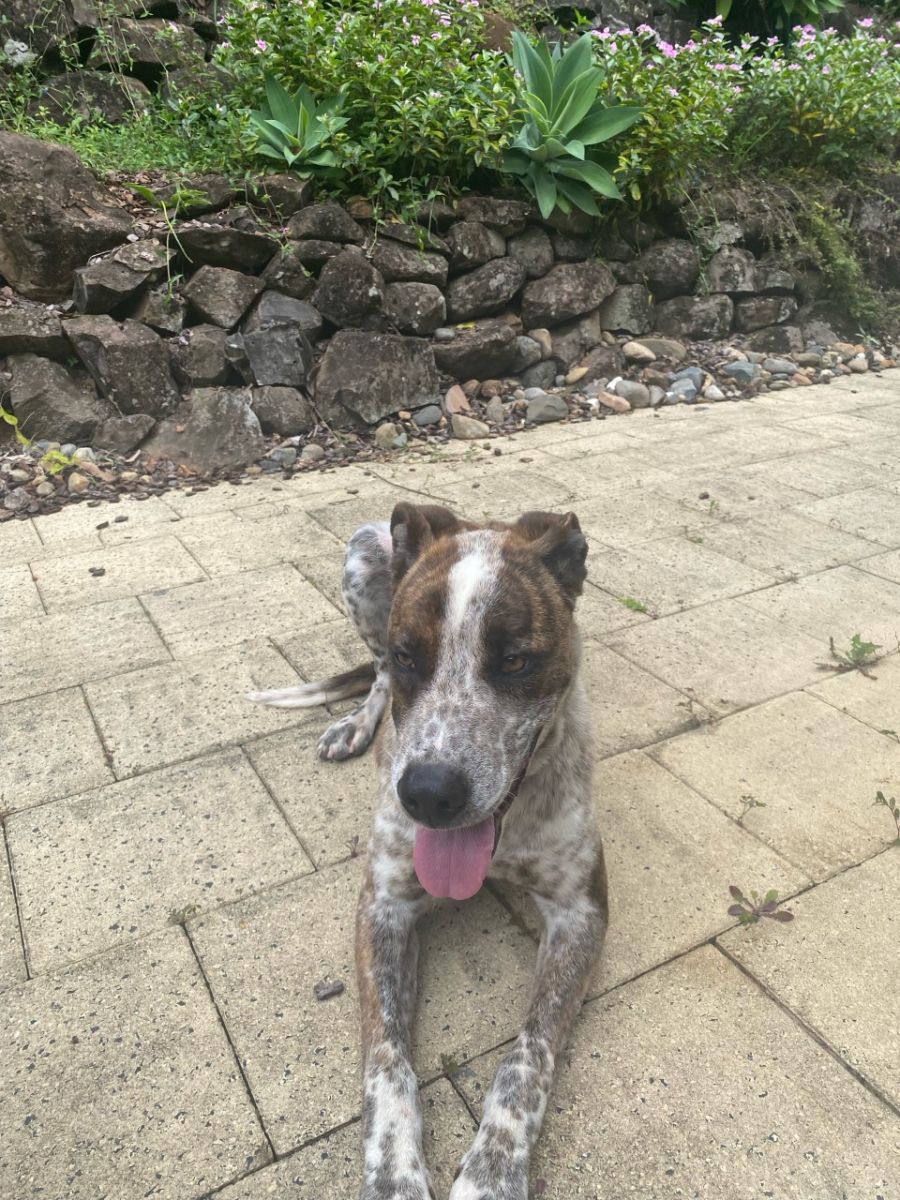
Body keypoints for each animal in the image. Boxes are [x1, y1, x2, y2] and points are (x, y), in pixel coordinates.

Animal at [251, 503, 607, 1200]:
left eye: (515, 661)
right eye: (409, 655)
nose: (428, 794)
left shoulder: (582, 910)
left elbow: (526, 1056)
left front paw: (493, 1173)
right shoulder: (383, 905)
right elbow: (386, 1060)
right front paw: (394, 1175)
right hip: (364, 552)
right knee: (371, 681)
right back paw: (355, 725)